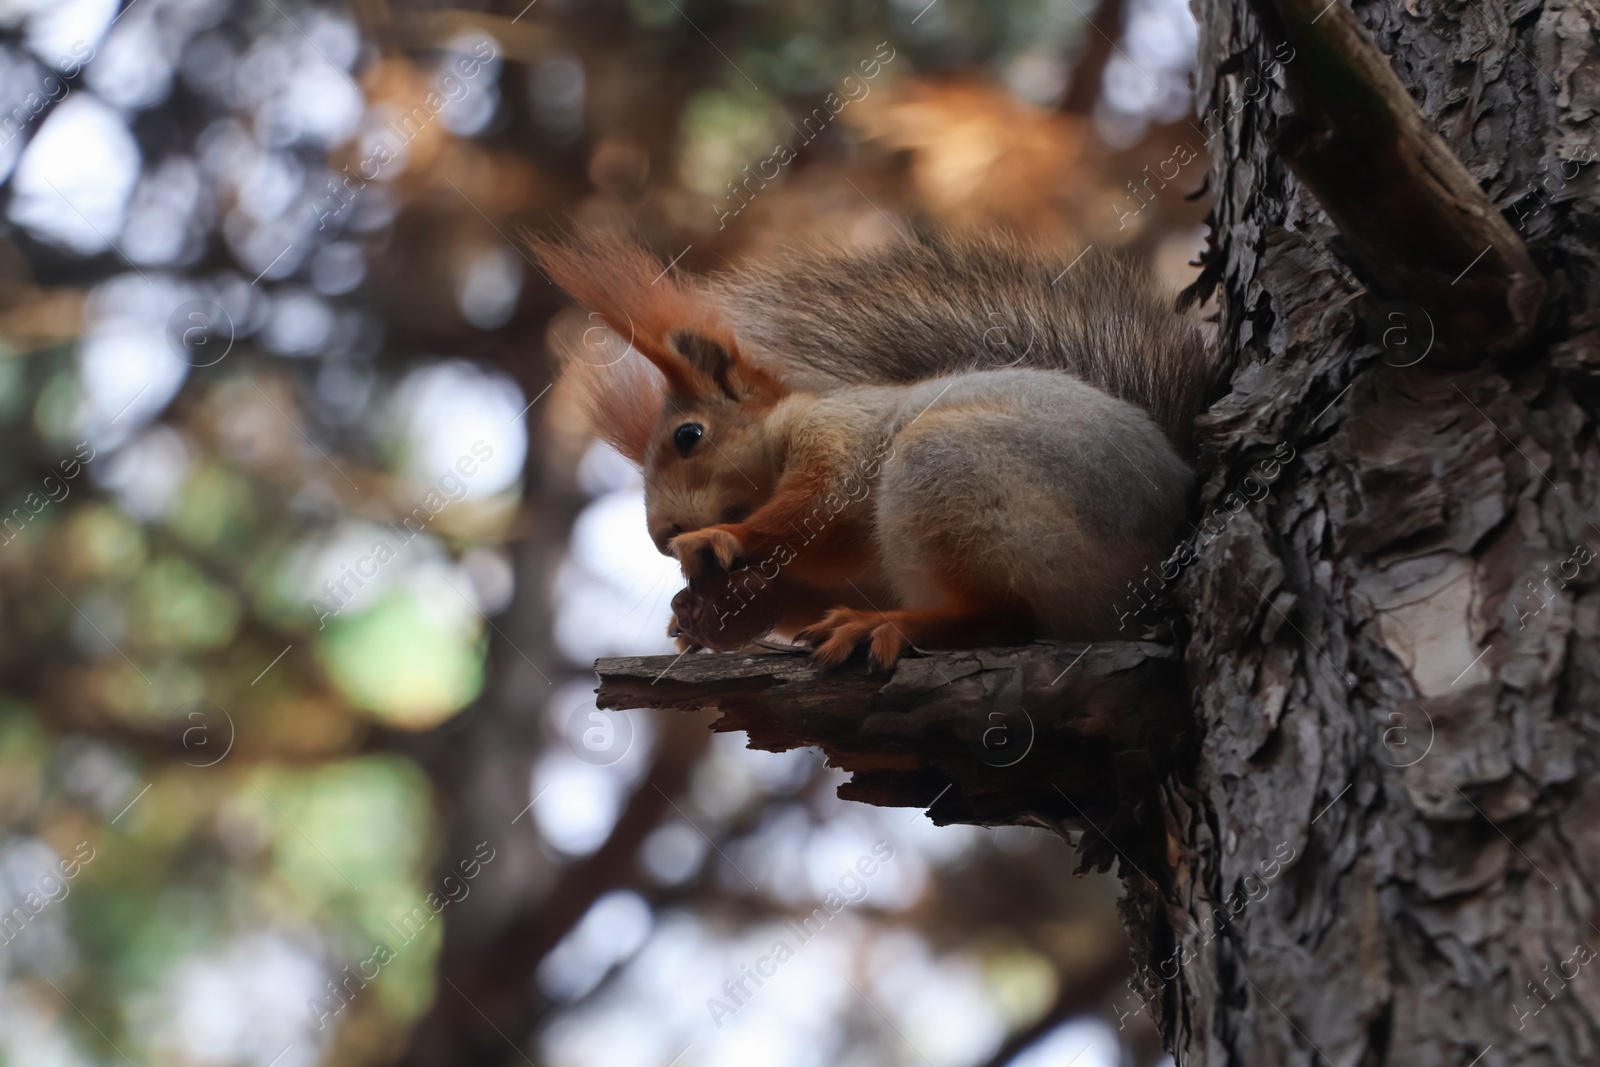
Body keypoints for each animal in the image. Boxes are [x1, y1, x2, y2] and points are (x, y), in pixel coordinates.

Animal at [537, 231, 1209, 668]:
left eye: (688, 436)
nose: (661, 536)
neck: (785, 427)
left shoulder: (843, 438)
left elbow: (815, 511)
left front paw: (721, 540)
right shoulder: (856, 572)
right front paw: (712, 614)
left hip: (951, 469)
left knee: (1005, 618)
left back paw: (883, 627)